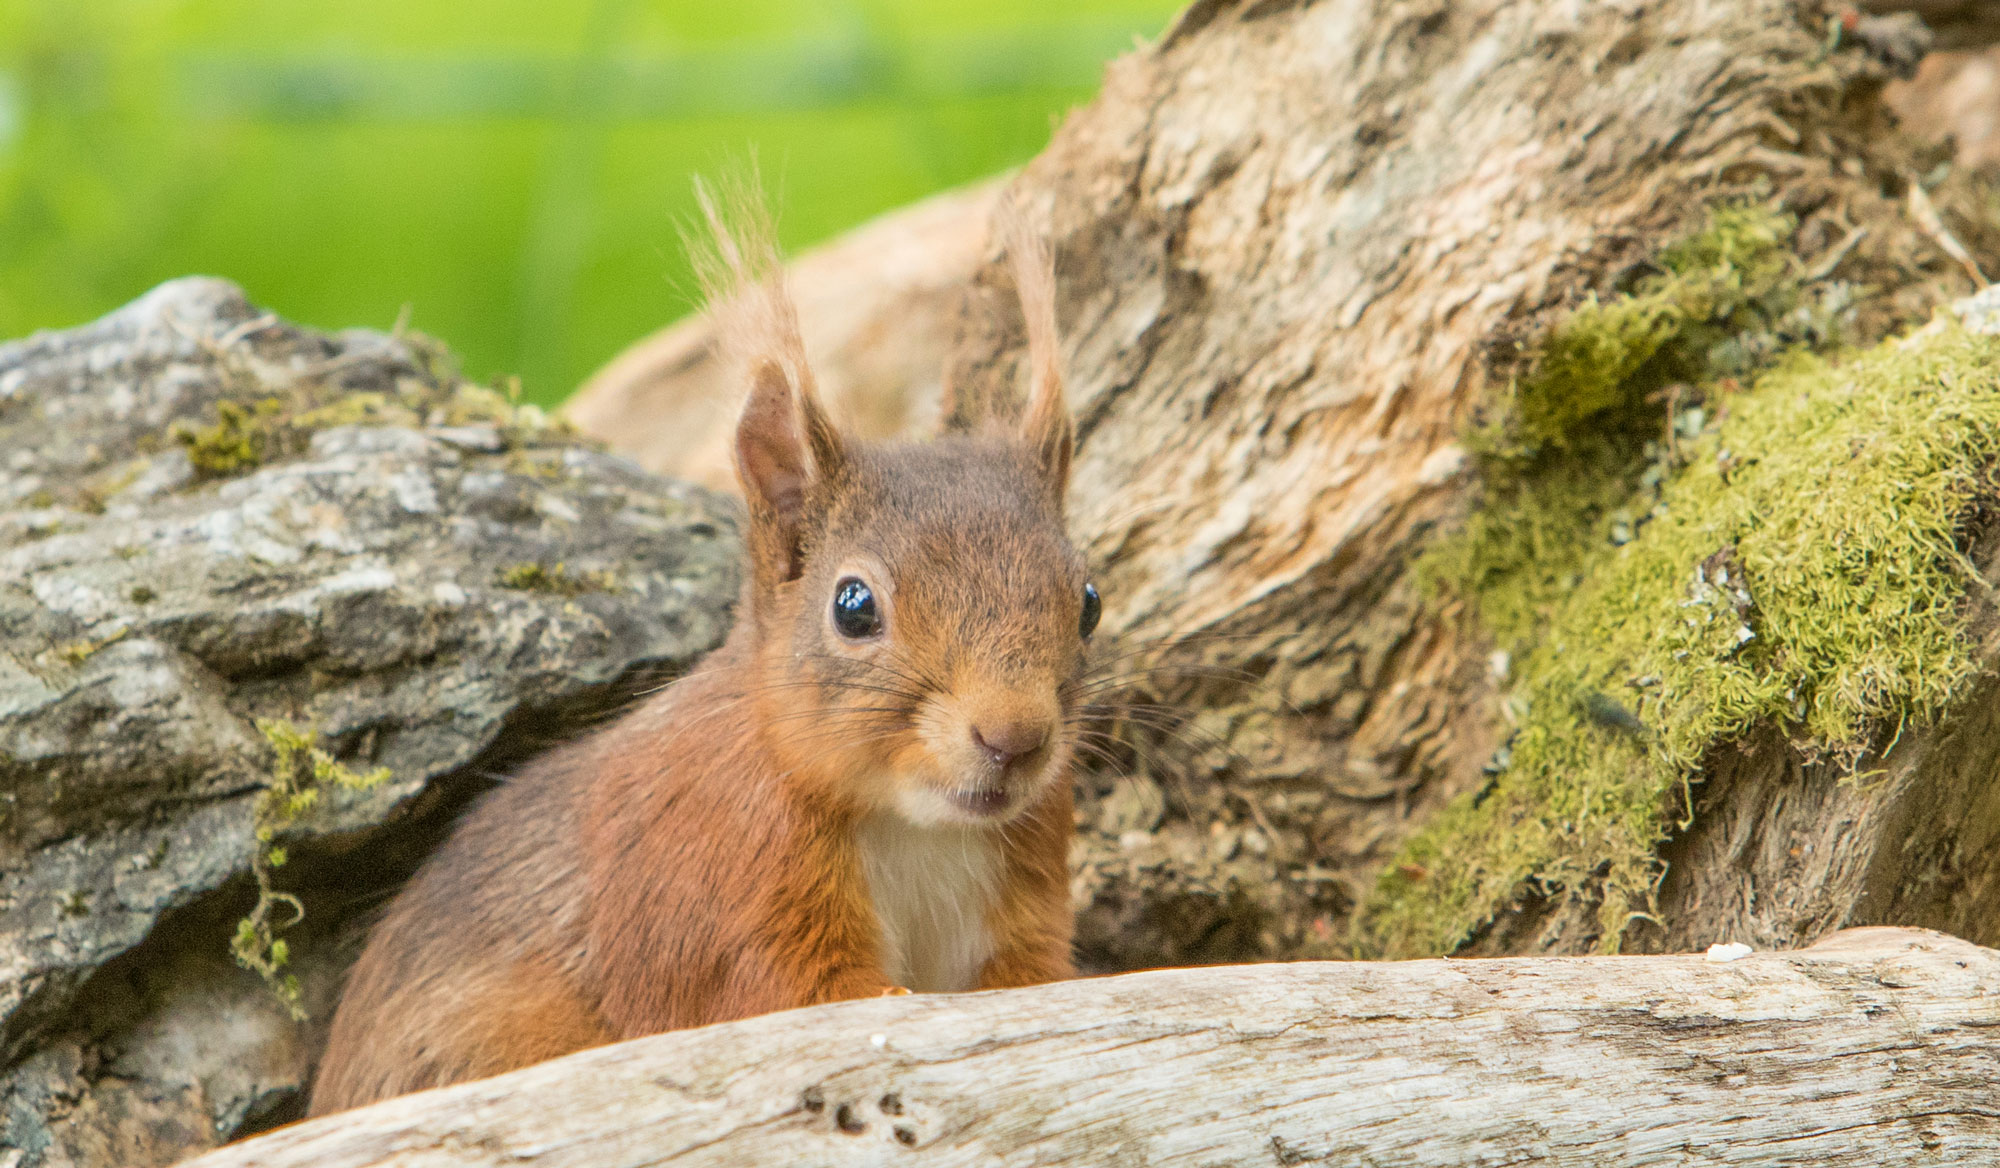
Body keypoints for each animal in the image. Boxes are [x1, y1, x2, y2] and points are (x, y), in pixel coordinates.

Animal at [308, 187, 1095, 1115]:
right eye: (854, 605)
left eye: (1089, 602)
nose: (1014, 739)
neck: (914, 826)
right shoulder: (717, 888)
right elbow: (793, 997)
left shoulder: (1026, 883)